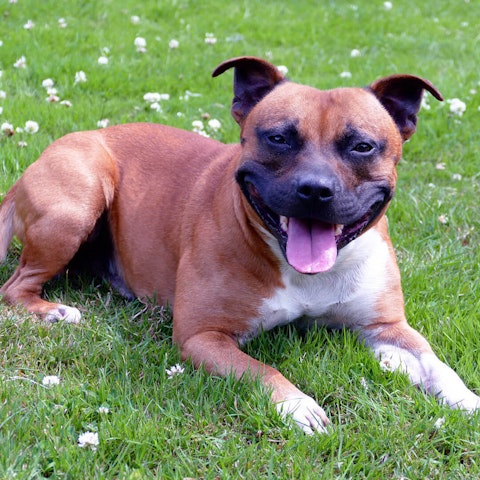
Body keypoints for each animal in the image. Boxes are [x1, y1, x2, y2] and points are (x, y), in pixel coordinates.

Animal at [0, 57, 480, 436]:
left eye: (362, 146)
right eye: (278, 138)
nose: (315, 189)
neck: (305, 273)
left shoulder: (386, 327)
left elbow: (435, 363)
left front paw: (466, 398)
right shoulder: (204, 336)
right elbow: (261, 369)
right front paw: (298, 405)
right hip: (75, 204)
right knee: (15, 287)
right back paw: (53, 311)